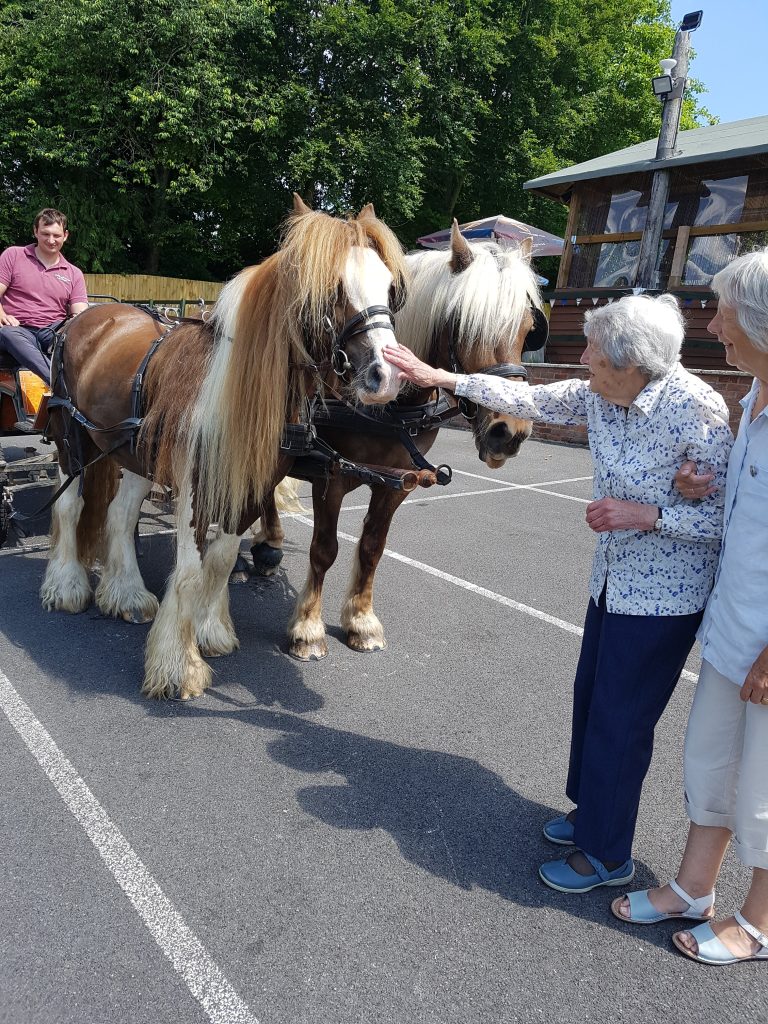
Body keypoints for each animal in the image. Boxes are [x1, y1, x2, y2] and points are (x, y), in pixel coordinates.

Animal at [39, 196, 409, 700]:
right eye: (330, 288)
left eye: (390, 287)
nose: (386, 376)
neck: (235, 389)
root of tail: (88, 317)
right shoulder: (195, 488)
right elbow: (191, 570)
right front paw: (179, 666)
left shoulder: (250, 487)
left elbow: (222, 559)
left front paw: (210, 631)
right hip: (70, 438)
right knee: (70, 506)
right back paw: (67, 587)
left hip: (131, 452)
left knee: (119, 516)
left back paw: (127, 595)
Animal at [256, 220, 544, 659]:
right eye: (463, 323)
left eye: (528, 329)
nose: (508, 432)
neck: (388, 409)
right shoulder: (331, 474)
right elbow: (324, 549)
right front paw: (307, 629)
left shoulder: (398, 481)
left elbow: (373, 546)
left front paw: (361, 621)